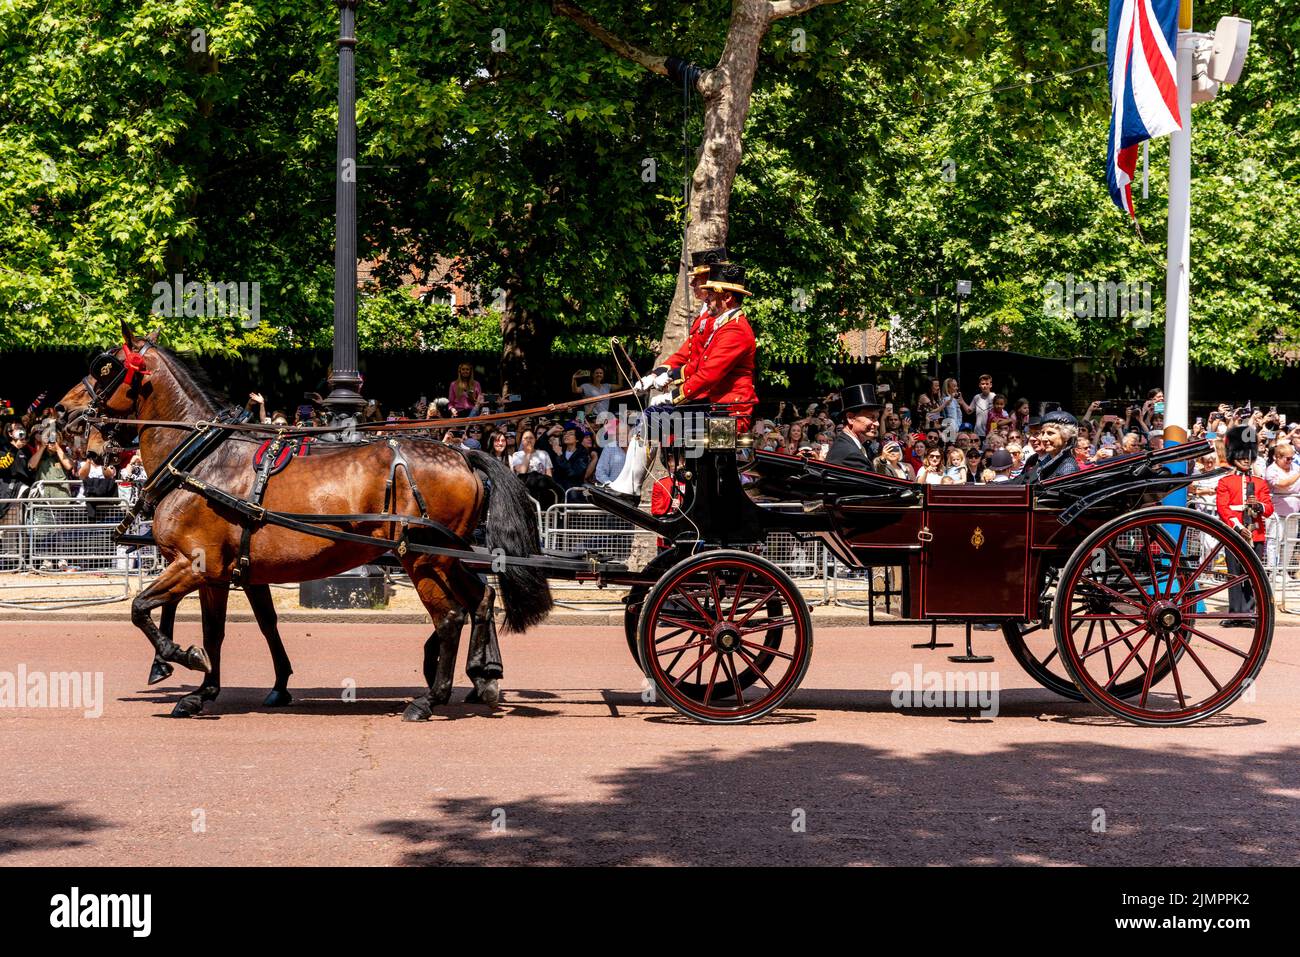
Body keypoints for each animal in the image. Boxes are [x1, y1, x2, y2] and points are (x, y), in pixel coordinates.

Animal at [57, 323, 548, 717]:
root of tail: (463, 455)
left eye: (105, 368)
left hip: (422, 560)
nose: (62, 412)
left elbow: (141, 608)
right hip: (444, 557)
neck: (202, 462)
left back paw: (430, 699)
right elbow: (220, 632)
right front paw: (206, 690)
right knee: (481, 599)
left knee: (449, 617)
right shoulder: (222, 574)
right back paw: (483, 677)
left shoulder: (193, 563)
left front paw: (182, 656)